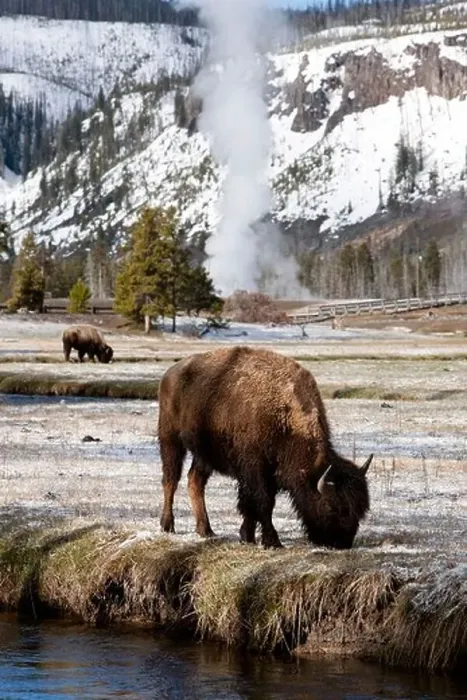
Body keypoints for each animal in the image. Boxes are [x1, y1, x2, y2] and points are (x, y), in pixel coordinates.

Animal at [158, 346, 372, 549]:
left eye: (361, 509)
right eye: (330, 505)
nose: (341, 543)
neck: (284, 416)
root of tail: (171, 372)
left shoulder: (264, 474)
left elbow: (252, 505)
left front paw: (247, 537)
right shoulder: (255, 470)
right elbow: (262, 503)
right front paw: (272, 541)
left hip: (204, 454)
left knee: (195, 481)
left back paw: (206, 530)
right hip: (170, 439)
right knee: (171, 480)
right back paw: (167, 525)